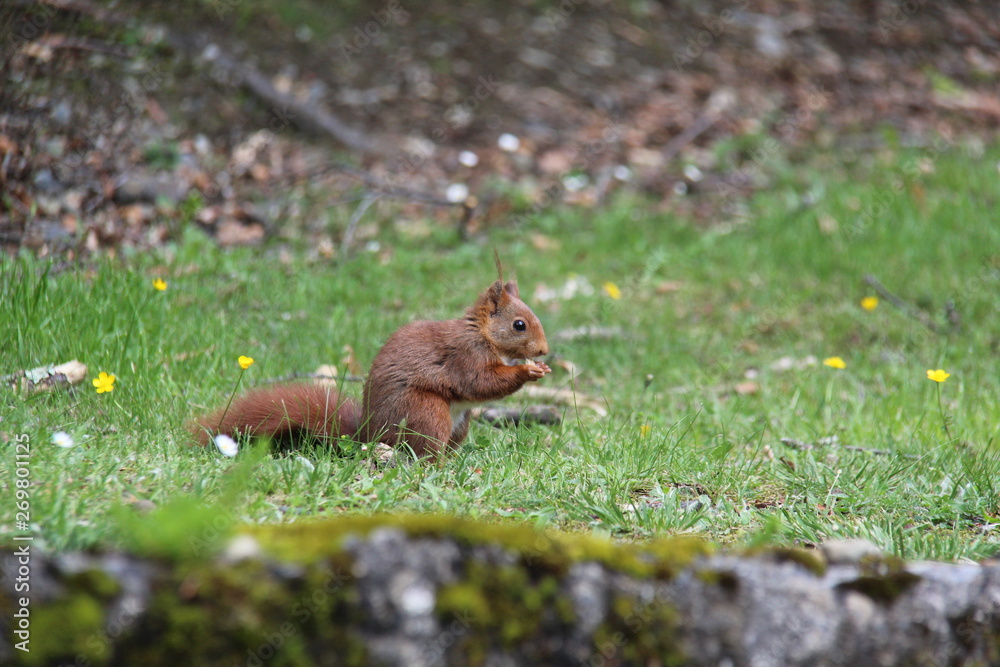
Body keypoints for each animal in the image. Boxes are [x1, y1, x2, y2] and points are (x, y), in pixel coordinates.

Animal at [192, 278, 551, 457]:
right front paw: (527, 372)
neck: (484, 335)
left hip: (459, 423)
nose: (544, 351)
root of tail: (368, 433)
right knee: (423, 453)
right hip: (425, 412)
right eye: (519, 325)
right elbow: (480, 382)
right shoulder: (465, 355)